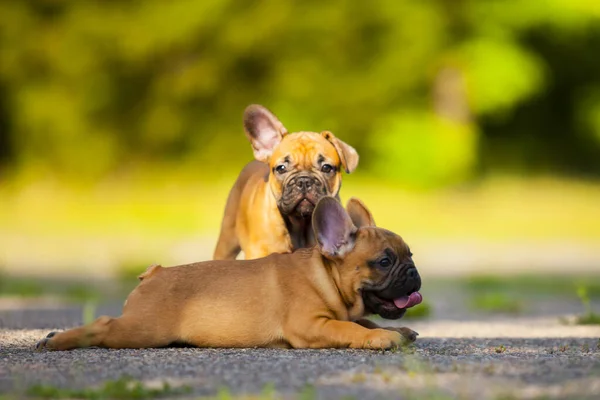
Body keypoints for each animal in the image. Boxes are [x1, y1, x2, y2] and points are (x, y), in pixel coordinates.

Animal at [36, 197, 422, 350]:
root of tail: (154, 274)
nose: (414, 273)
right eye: (385, 261)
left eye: (411, 255)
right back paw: (56, 340)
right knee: (102, 326)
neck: (323, 276)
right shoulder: (311, 326)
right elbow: (350, 328)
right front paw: (381, 337)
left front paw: (396, 330)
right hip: (142, 330)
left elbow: (363, 320)